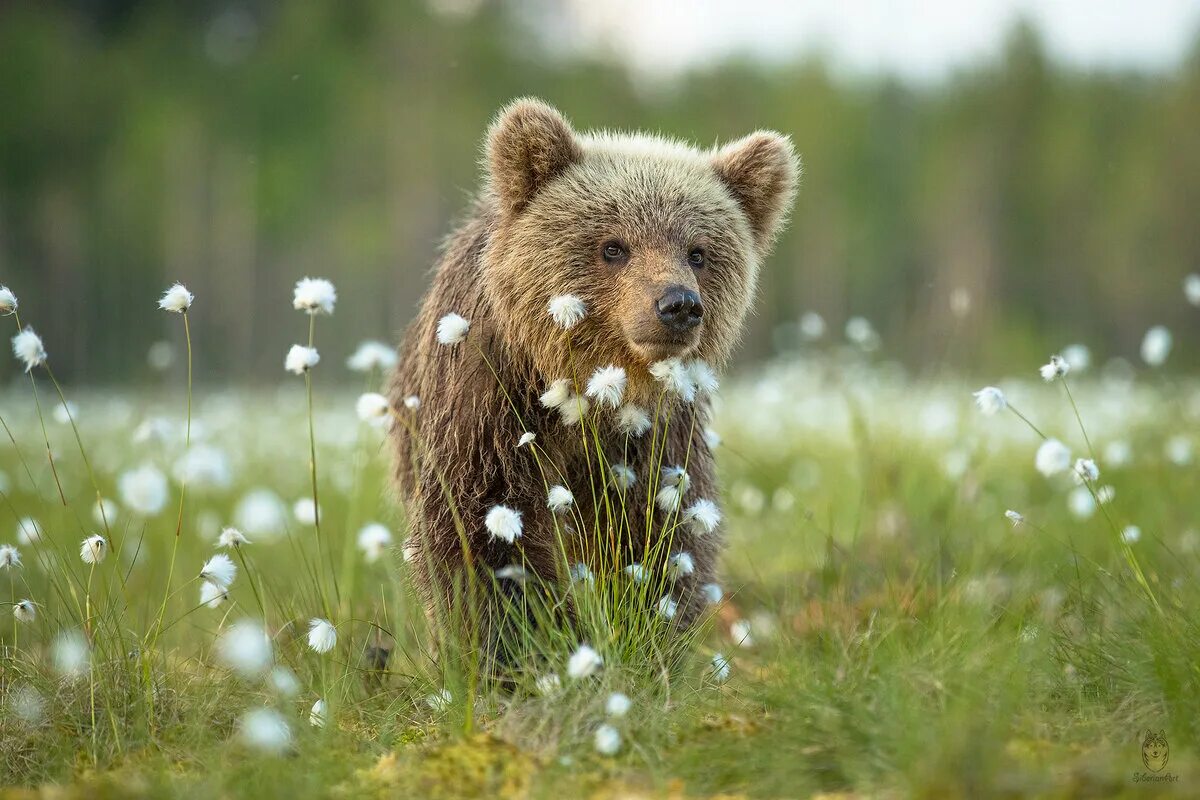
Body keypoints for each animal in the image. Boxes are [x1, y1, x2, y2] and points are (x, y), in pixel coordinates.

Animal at [384, 100, 796, 652]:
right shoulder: (490, 408)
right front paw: (521, 643)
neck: (586, 394)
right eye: (613, 246)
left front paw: (646, 633)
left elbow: (658, 536)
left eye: (698, 252)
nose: (678, 305)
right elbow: (485, 530)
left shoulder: (654, 439)